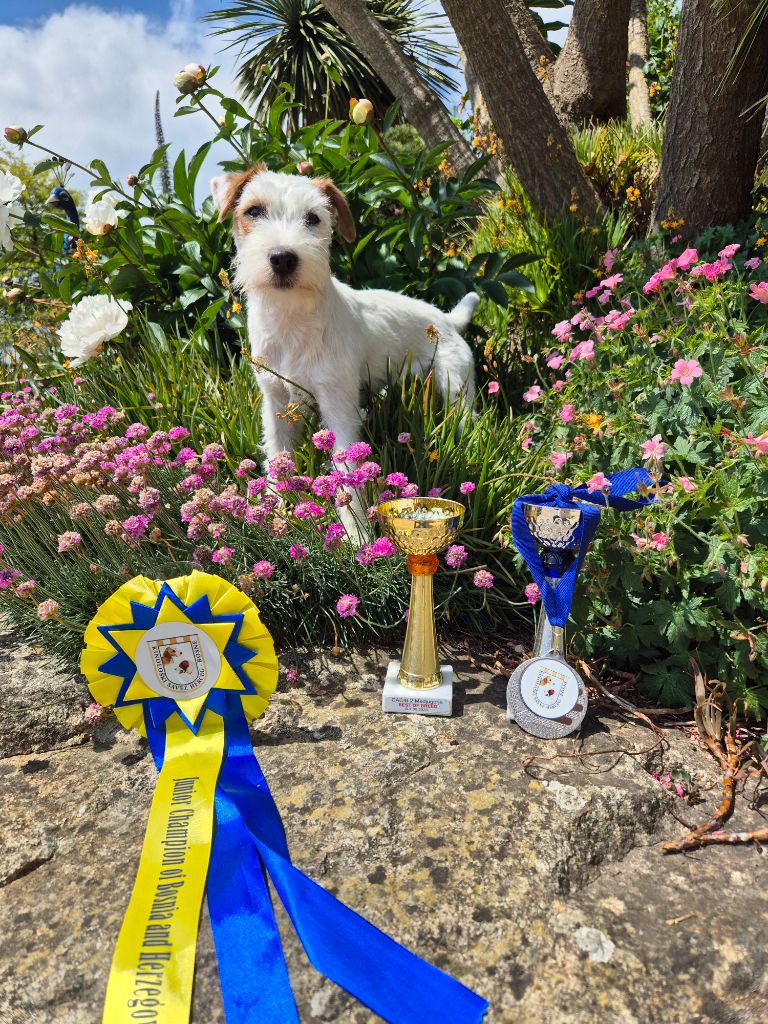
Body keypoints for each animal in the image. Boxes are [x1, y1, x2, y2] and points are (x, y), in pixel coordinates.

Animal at [210, 166, 477, 469]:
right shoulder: (276, 402)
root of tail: (448, 320)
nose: (283, 258)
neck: (290, 318)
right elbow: (279, 456)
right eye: (253, 211)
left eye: (313, 218)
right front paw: (276, 485)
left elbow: (346, 467)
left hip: (456, 385)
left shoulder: (338, 405)